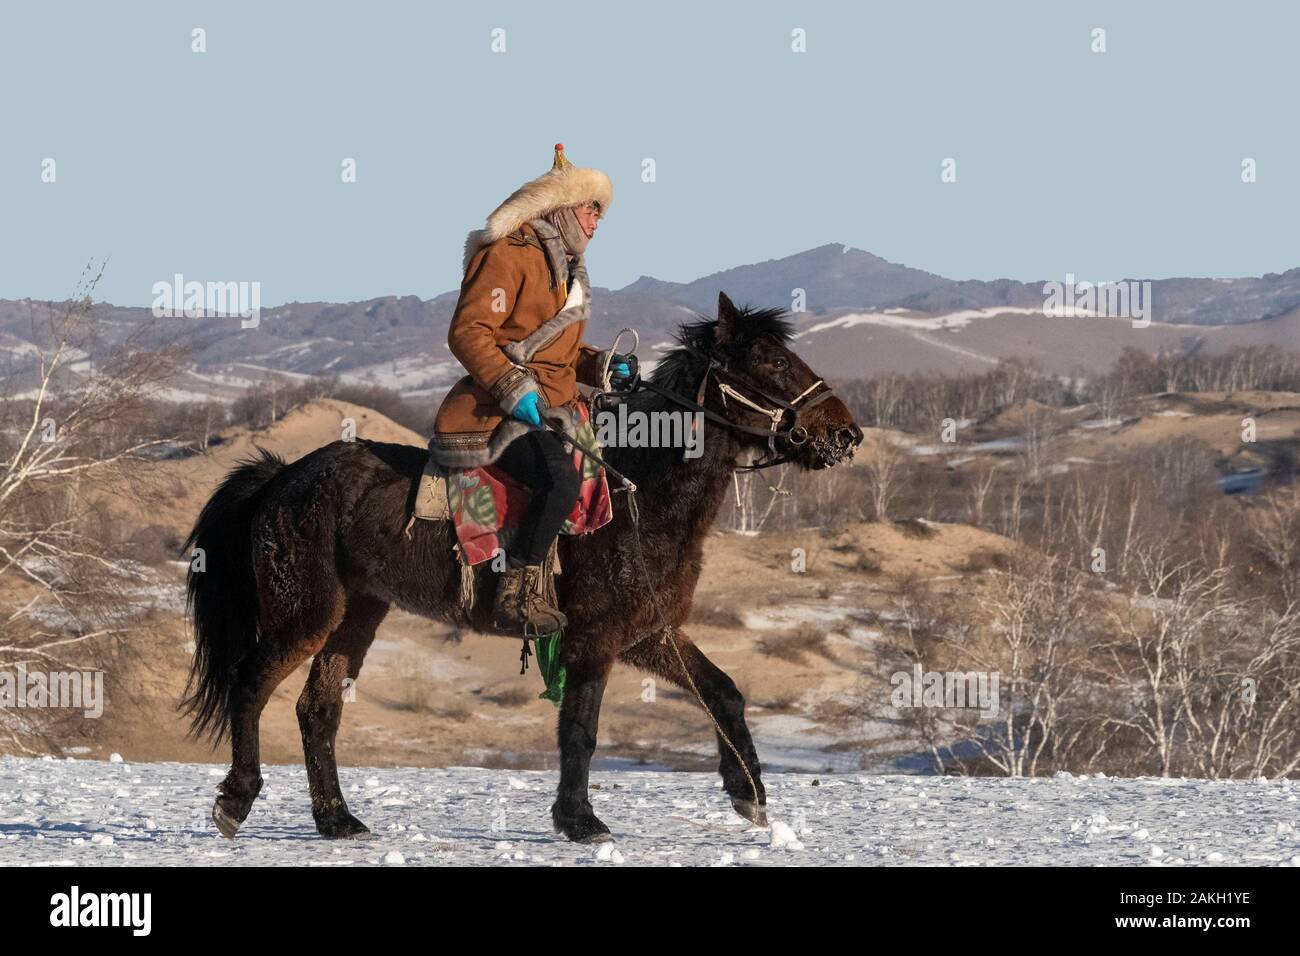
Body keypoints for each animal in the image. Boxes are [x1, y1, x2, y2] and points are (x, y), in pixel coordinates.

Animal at [180, 293, 852, 842]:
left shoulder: (650, 633)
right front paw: (580, 821)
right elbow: (580, 729)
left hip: (358, 614)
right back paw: (236, 801)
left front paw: (750, 794)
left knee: (318, 710)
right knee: (250, 686)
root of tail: (282, 477)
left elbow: (723, 693)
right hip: (306, 613)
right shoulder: (596, 639)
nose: (845, 434)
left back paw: (337, 819)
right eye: (768, 362)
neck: (643, 497)